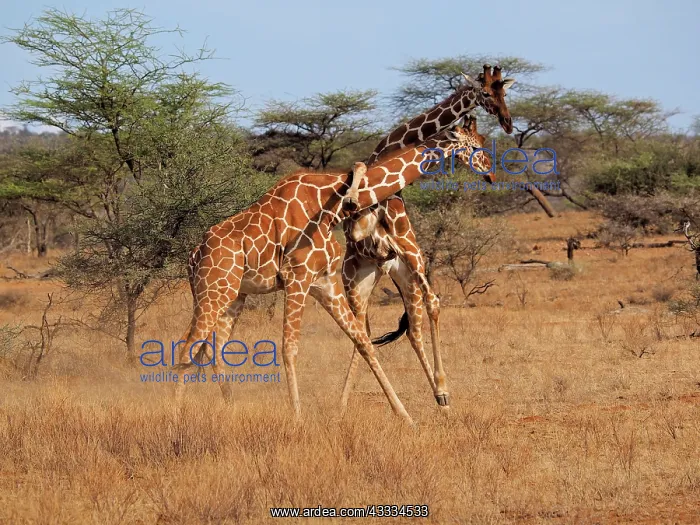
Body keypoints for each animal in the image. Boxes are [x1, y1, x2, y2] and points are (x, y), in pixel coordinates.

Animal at [176, 126, 489, 425]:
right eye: (474, 145)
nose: (488, 169)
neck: (326, 201)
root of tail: (193, 256)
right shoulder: (297, 278)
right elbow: (289, 349)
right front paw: (298, 419)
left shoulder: (324, 282)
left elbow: (363, 342)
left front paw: (406, 416)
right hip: (214, 292)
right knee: (187, 348)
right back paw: (177, 416)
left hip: (232, 296)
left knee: (212, 350)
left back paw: (227, 409)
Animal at [339, 65, 516, 409]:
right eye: (485, 92)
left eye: (505, 91)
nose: (507, 122)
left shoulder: (404, 245)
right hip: (360, 280)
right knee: (367, 326)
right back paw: (344, 401)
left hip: (402, 274)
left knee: (413, 324)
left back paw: (440, 391)